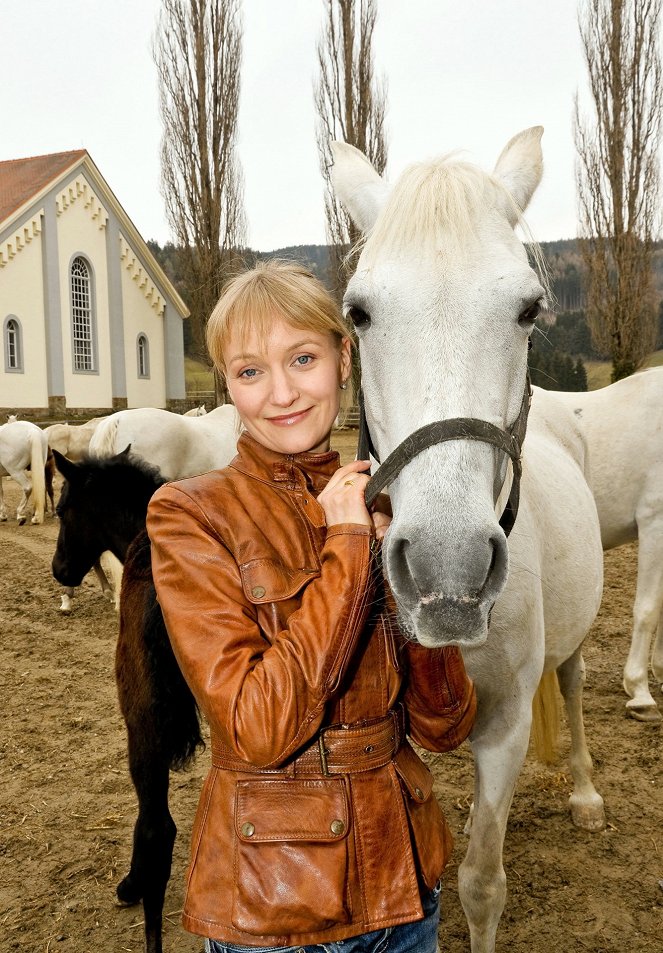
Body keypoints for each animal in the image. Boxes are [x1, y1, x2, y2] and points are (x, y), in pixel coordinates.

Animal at [332, 128, 608, 952]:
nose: (446, 570)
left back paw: (585, 791)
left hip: (573, 645)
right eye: (358, 312)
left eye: (528, 309)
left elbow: (482, 882)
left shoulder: (507, 727)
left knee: (574, 686)